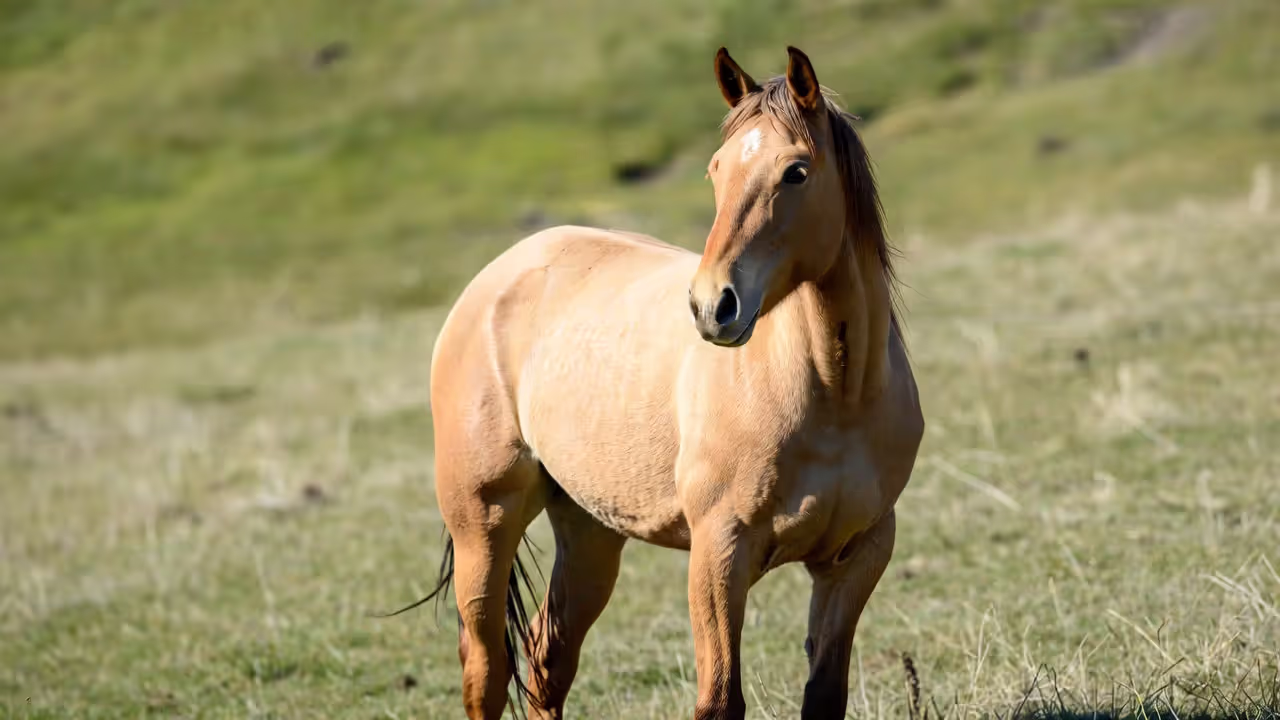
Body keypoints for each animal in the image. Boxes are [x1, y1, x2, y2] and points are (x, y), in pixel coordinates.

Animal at [419, 46, 924, 719]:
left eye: (795, 172)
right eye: (716, 171)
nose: (713, 306)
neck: (834, 395)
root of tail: (497, 276)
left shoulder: (856, 558)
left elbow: (824, 696)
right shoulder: (719, 554)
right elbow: (719, 700)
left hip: (591, 532)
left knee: (548, 661)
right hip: (484, 526)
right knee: (487, 671)